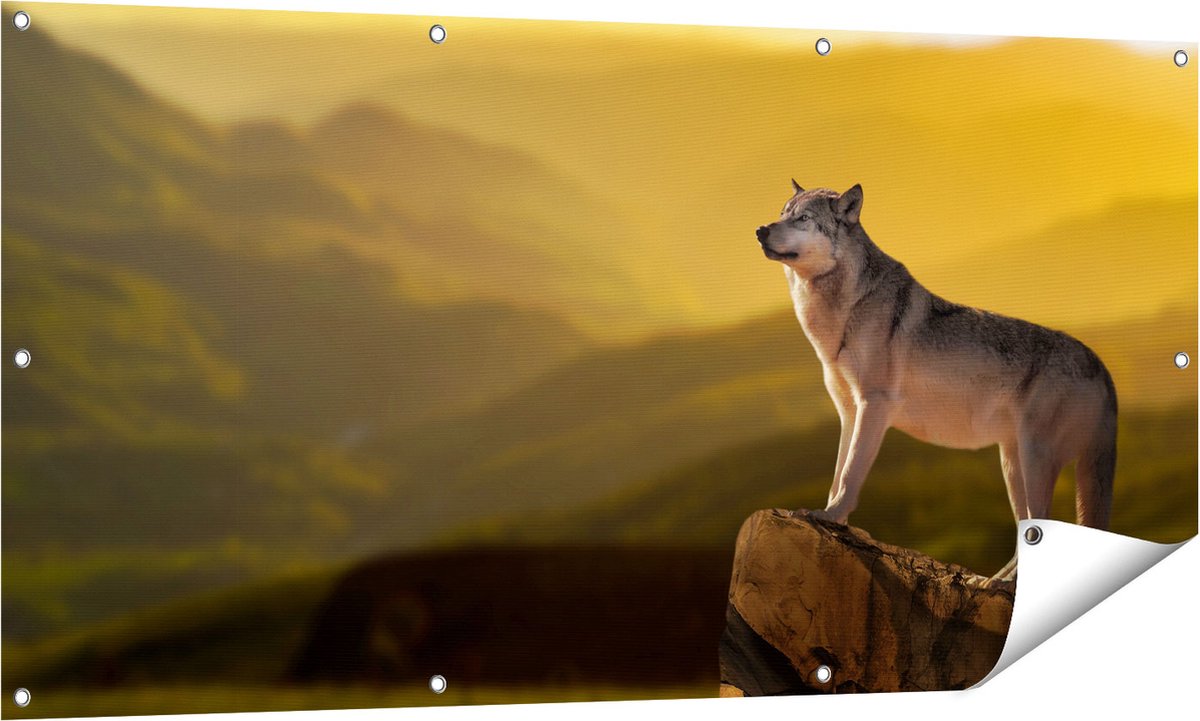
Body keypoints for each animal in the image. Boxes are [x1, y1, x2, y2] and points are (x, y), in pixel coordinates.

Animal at [755, 181, 1116, 584]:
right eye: (782, 213)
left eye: (803, 219)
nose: (761, 231)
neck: (843, 310)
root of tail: (1101, 365)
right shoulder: (848, 413)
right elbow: (838, 473)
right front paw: (833, 520)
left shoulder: (874, 406)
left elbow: (850, 475)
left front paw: (830, 517)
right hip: (1013, 465)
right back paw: (993, 582)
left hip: (1035, 460)